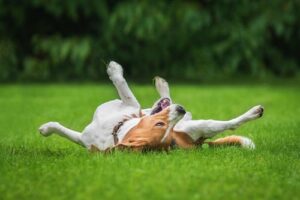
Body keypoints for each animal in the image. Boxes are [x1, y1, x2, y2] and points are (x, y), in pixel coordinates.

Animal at [38, 61, 264, 152]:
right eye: (160, 126)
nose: (179, 110)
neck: (114, 130)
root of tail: (199, 144)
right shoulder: (84, 138)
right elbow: (63, 130)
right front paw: (46, 129)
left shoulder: (132, 104)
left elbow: (124, 87)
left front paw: (114, 70)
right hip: (191, 123)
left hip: (199, 125)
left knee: (230, 124)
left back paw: (254, 112)